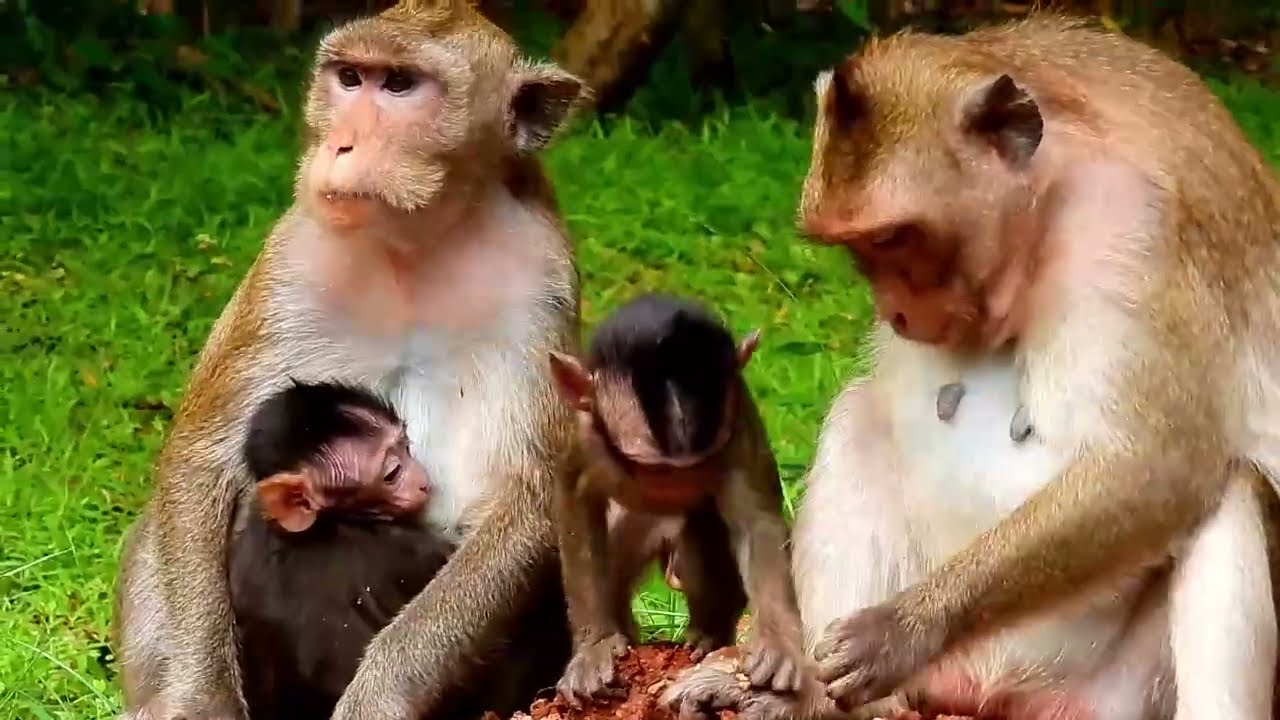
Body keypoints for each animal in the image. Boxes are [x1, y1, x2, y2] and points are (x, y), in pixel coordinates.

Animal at [547, 293, 810, 708]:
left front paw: (779, 646)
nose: (676, 492)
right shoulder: (586, 440)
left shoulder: (739, 428)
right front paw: (596, 646)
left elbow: (758, 523)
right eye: (656, 472)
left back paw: (708, 631)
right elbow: (576, 507)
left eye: (697, 467)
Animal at [660, 13, 1280, 720]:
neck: (1048, 201)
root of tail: (985, 690)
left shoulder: (1127, 227)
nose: (896, 312)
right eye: (857, 248)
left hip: (1110, 693)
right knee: (859, 415)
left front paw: (904, 629)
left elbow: (1159, 464)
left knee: (1228, 489)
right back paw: (813, 701)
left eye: (894, 238)